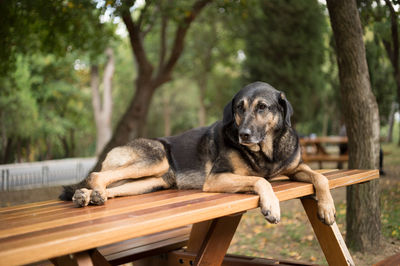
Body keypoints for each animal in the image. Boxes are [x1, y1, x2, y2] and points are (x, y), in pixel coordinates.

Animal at [61, 81, 336, 224]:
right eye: (239, 107)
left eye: (262, 107)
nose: (244, 134)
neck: (266, 152)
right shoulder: (217, 178)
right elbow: (260, 180)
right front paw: (271, 206)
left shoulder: (296, 168)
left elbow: (321, 177)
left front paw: (327, 209)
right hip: (157, 158)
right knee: (97, 176)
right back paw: (91, 193)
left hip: (152, 182)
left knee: (112, 188)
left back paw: (88, 196)